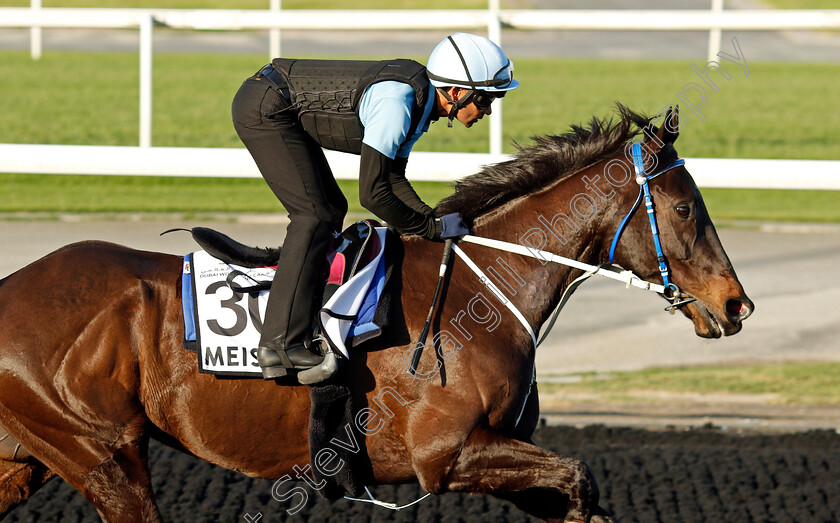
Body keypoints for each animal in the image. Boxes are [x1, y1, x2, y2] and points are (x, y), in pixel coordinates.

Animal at [0, 104, 756, 520]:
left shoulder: (495, 454)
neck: (485, 284)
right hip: (102, 452)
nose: (736, 303)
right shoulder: (448, 453)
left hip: (28, 455)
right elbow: (578, 475)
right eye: (686, 207)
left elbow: (579, 493)